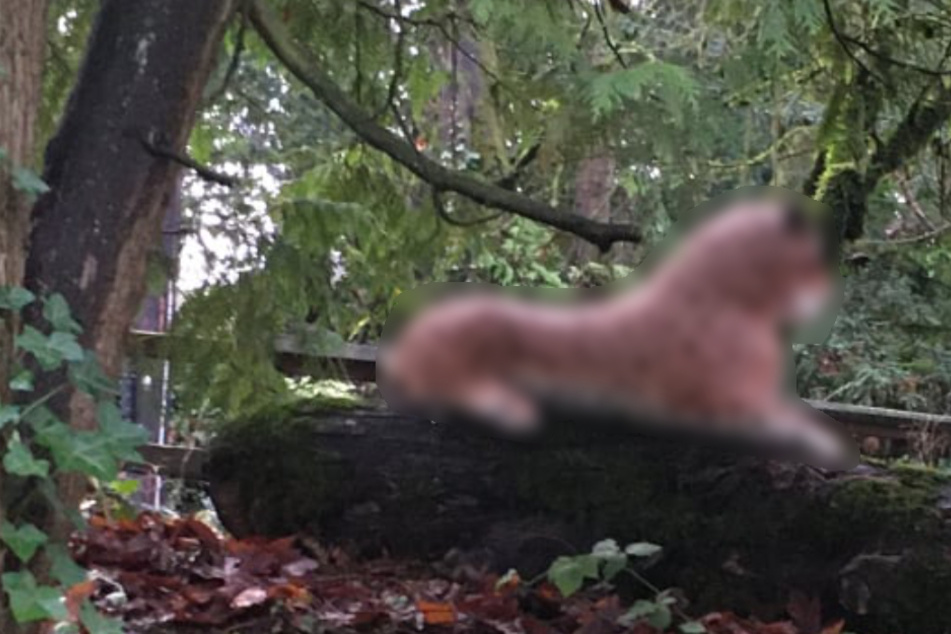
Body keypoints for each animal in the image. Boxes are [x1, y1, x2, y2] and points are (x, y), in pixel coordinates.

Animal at [377, 189, 857, 470]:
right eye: (816, 260)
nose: (833, 292)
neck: (738, 299)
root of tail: (405, 339)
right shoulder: (724, 403)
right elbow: (793, 423)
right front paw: (828, 445)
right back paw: (511, 407)